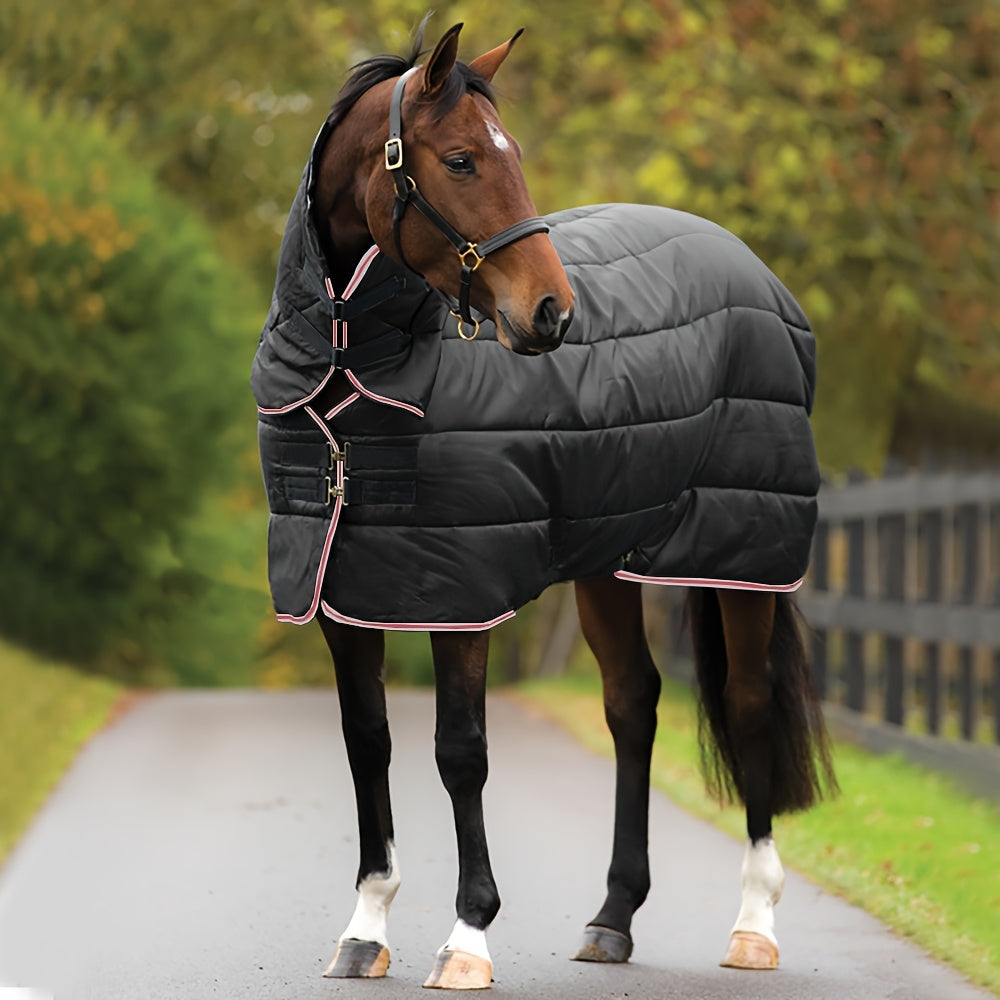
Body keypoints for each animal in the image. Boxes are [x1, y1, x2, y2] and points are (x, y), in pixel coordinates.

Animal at [252, 19, 836, 991]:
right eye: (459, 160)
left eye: (513, 155)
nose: (553, 313)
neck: (354, 358)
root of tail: (756, 272)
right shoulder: (340, 588)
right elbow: (367, 740)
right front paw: (366, 928)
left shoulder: (462, 593)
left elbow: (460, 753)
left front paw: (467, 937)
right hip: (606, 563)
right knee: (633, 703)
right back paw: (613, 918)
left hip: (740, 556)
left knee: (749, 703)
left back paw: (754, 925)